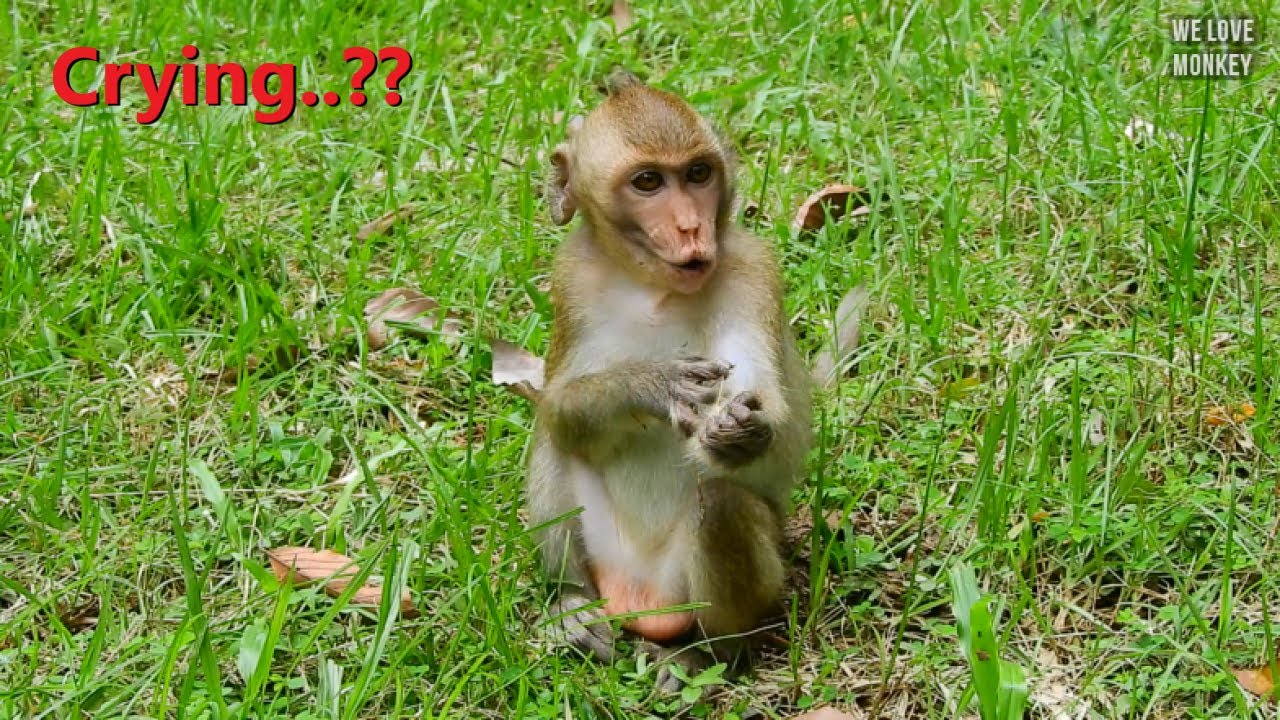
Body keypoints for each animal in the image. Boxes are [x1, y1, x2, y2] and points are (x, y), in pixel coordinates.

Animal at [526, 69, 813, 688]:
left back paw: (707, 653)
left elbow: (771, 409)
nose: (689, 227)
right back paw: (573, 605)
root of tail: (642, 598)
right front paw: (649, 384)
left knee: (721, 506)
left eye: (699, 175)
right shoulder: (571, 278)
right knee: (556, 446)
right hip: (605, 553)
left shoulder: (753, 270)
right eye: (648, 182)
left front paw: (739, 432)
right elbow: (558, 406)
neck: (652, 288)